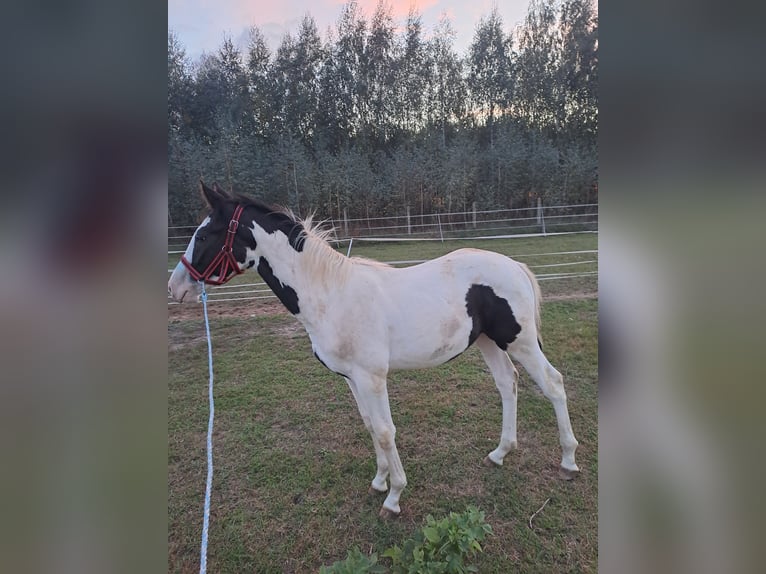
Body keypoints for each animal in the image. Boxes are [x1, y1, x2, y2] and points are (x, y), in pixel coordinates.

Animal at [168, 182, 580, 518]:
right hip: (487, 342)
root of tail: (514, 266)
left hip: (519, 342)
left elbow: (384, 431)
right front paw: (380, 481)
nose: (176, 286)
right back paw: (500, 453)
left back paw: (568, 461)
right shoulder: (352, 379)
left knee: (553, 383)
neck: (330, 295)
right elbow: (369, 425)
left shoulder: (372, 378)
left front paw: (394, 497)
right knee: (508, 384)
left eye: (204, 235)